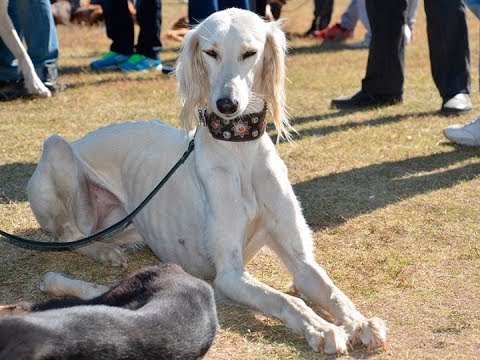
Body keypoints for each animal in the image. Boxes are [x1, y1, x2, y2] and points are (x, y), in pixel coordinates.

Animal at [26, 7, 386, 354]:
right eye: (211, 52)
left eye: (250, 53)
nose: (227, 105)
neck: (239, 148)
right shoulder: (228, 275)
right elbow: (287, 299)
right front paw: (321, 328)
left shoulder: (301, 260)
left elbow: (330, 289)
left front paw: (360, 322)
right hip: (58, 150)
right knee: (70, 236)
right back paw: (93, 258)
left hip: (127, 224)